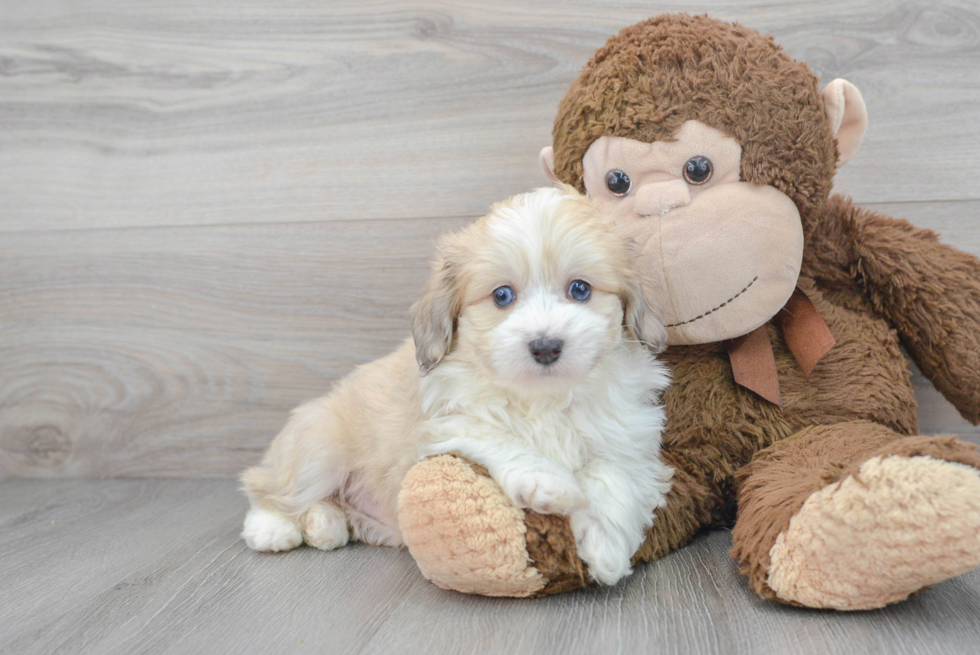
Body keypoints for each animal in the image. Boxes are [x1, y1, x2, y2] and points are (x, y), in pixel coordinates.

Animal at [244, 183, 672, 584]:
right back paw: (272, 528)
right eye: (502, 295)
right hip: (320, 445)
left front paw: (605, 545)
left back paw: (325, 525)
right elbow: (502, 438)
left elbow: (611, 472)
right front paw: (549, 483)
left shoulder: (627, 431)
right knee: (268, 489)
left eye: (580, 289)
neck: (542, 396)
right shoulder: (444, 422)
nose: (545, 346)